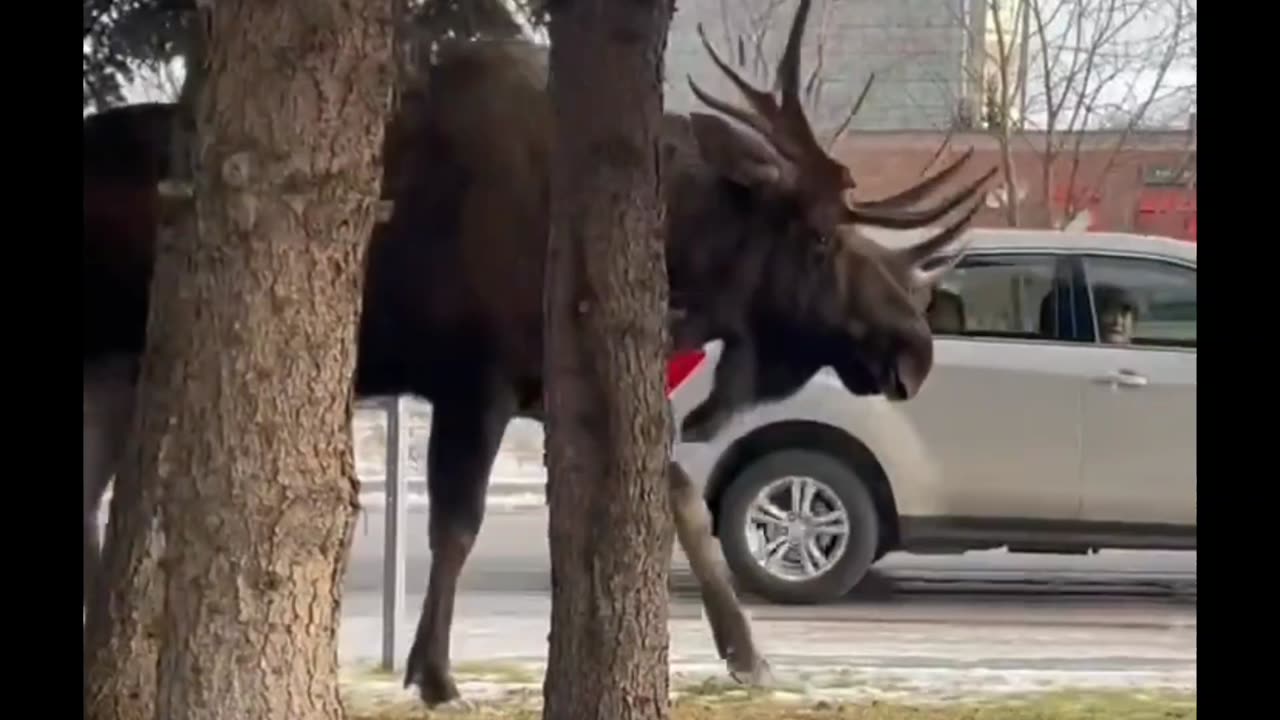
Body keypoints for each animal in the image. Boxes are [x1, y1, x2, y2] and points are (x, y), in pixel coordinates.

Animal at [85, 0, 993, 702]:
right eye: (818, 240)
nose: (914, 349)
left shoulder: (548, 382)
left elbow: (678, 493)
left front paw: (749, 655)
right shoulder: (473, 378)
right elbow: (458, 523)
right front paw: (433, 672)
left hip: (117, 365)